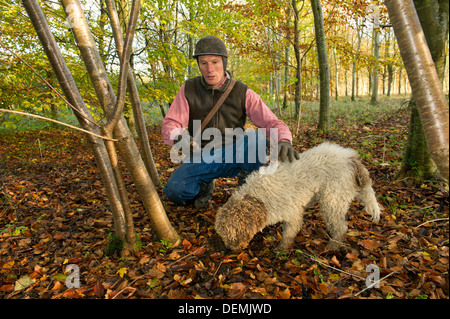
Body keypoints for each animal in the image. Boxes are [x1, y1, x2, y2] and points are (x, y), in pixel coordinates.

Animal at [214, 142, 380, 252]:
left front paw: (281, 249)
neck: (258, 198)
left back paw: (332, 247)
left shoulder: (293, 214)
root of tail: (349, 158)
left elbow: (288, 234)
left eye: (233, 237)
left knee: (341, 227)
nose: (230, 249)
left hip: (332, 201)